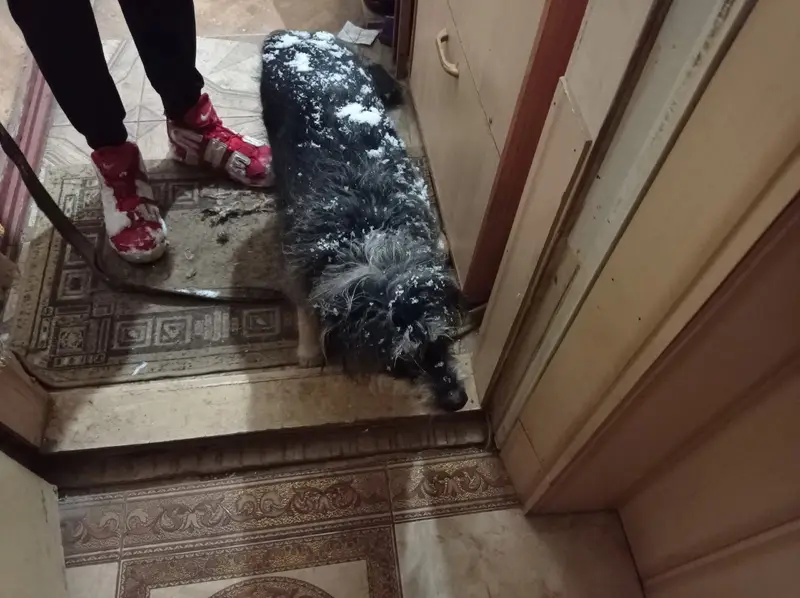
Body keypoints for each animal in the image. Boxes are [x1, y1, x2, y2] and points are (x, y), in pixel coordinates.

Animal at [259, 30, 468, 411]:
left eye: (443, 342)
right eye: (401, 364)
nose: (458, 400)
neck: (370, 232)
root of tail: (295, 36)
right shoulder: (299, 259)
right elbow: (305, 305)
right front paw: (309, 348)